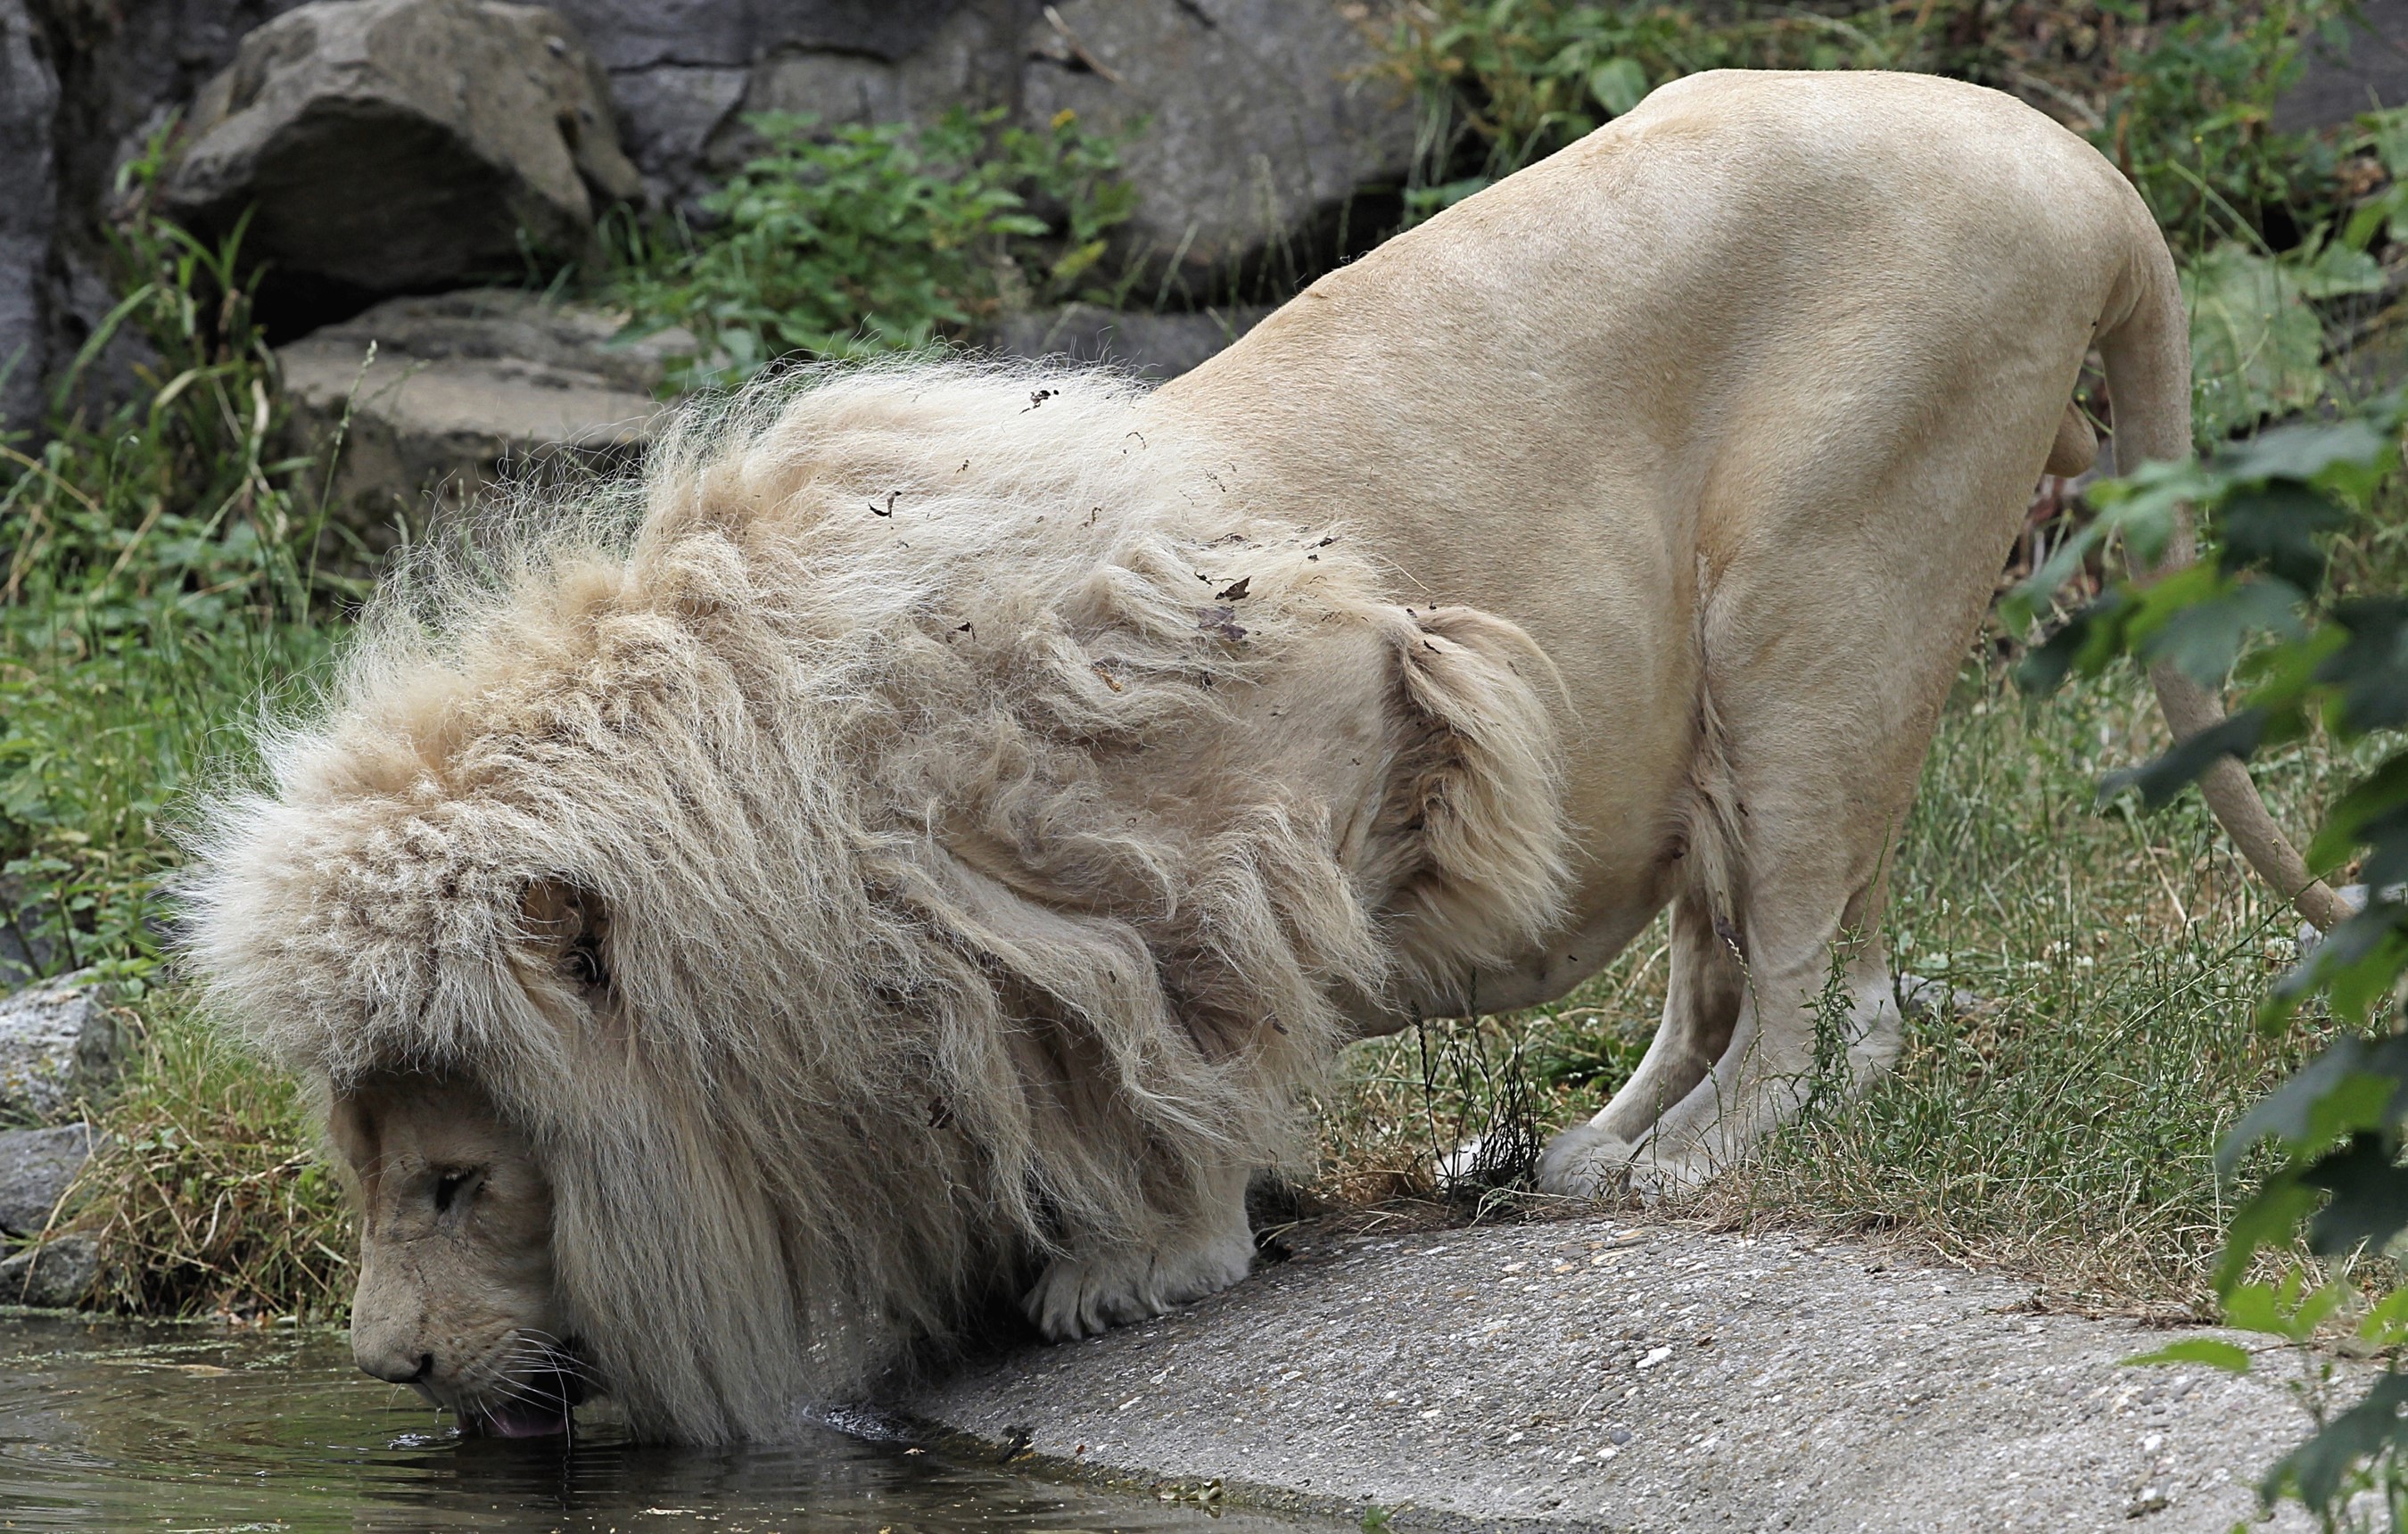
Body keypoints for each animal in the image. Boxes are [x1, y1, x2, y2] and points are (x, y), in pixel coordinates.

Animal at [181, 69, 2340, 1443]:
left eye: (458, 1182)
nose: (385, 1373)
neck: (763, 803)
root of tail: (2078, 165)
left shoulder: (1316, 707)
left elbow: (1188, 1022)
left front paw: (1143, 1263)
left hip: (1821, 589)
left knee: (1823, 995)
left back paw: (1678, 1168)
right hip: (1749, 693)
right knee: (1750, 960)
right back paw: (1574, 1156)